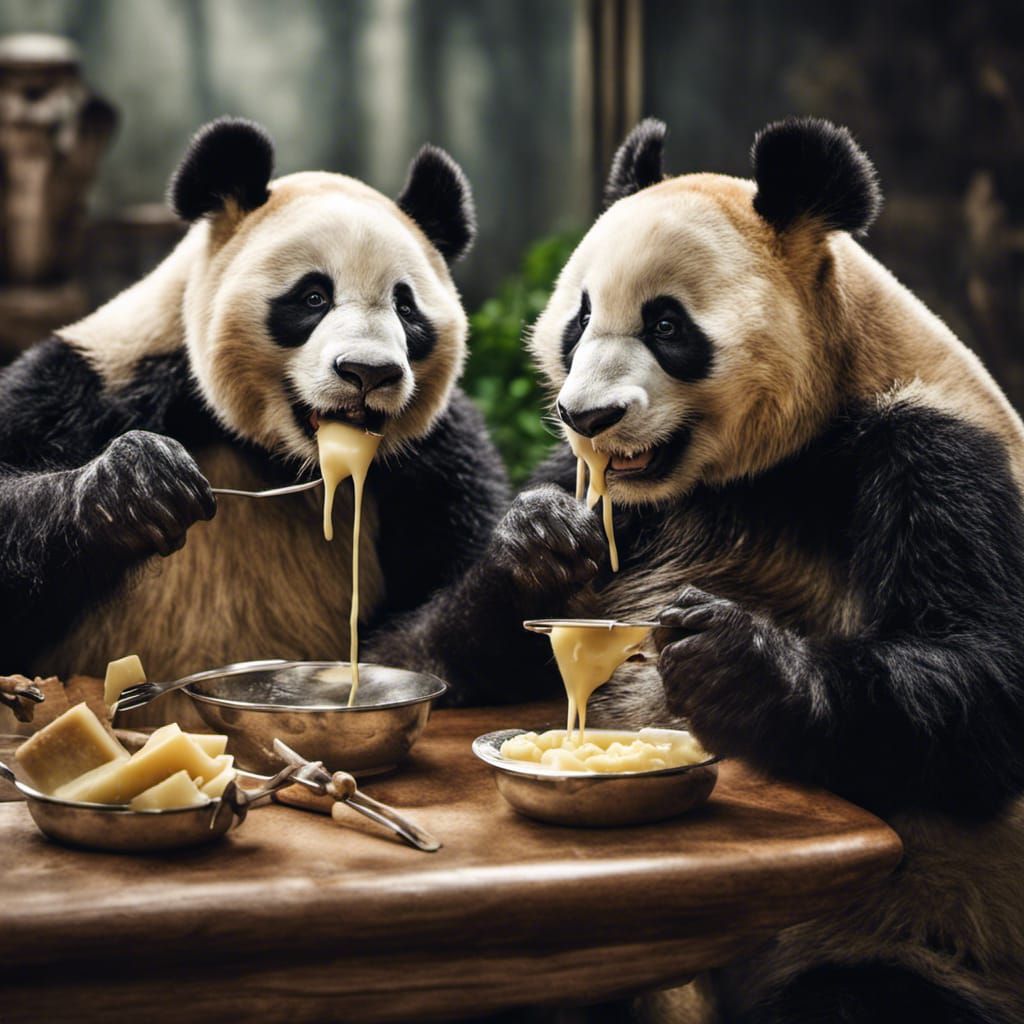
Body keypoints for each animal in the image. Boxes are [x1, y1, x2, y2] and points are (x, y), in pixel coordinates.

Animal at [0, 117, 508, 693]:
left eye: (405, 307)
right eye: (313, 297)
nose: (369, 372)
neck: (277, 454)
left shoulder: (441, 455)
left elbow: (429, 632)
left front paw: (531, 550)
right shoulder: (89, 385)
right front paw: (137, 487)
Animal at [388, 119, 1024, 1021]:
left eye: (667, 326)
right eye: (580, 319)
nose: (588, 416)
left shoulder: (933, 455)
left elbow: (979, 680)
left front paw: (732, 661)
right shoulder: (607, 490)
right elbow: (420, 651)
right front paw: (538, 544)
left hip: (921, 926)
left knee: (865, 993)